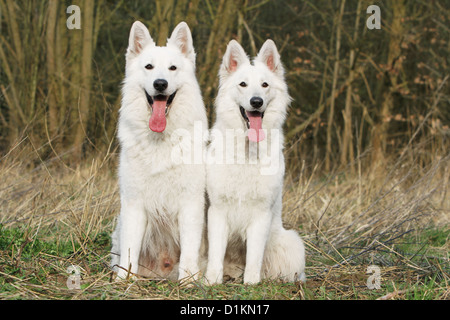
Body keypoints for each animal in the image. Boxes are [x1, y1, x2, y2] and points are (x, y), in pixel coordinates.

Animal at [110, 21, 207, 282]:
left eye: (173, 68)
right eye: (149, 67)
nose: (160, 84)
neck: (161, 141)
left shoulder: (190, 204)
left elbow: (189, 251)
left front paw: (188, 283)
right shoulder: (134, 204)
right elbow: (130, 250)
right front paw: (125, 281)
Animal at [205, 38, 306, 284]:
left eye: (265, 85)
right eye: (243, 84)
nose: (256, 101)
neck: (247, 152)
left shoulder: (261, 214)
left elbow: (254, 255)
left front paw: (250, 282)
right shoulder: (217, 212)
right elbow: (215, 254)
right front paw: (211, 281)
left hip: (292, 242)